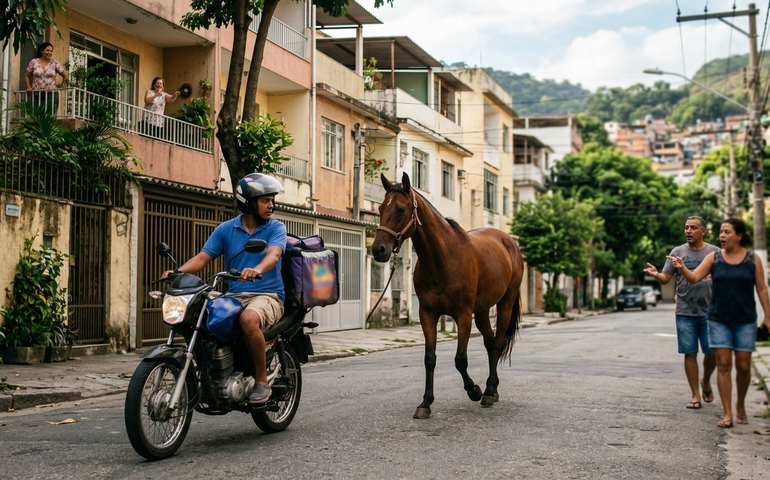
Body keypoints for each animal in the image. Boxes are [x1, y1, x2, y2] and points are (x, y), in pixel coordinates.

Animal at [372, 172, 524, 419]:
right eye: (380, 208)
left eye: (401, 210)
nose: (378, 250)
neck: (442, 259)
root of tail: (509, 241)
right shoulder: (427, 314)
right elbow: (430, 359)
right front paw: (425, 402)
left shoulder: (463, 315)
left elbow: (460, 360)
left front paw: (474, 390)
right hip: (482, 310)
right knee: (491, 343)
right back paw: (492, 389)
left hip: (505, 304)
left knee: (499, 341)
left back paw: (489, 391)